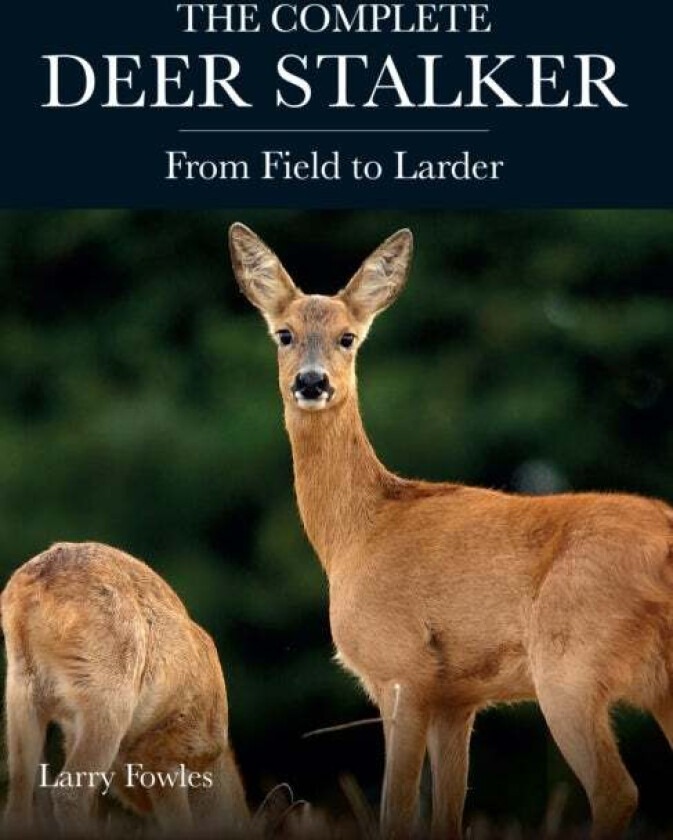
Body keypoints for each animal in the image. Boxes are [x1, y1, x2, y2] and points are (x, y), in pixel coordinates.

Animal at [229, 222, 673, 840]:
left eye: (347, 338)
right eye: (284, 334)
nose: (311, 383)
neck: (357, 534)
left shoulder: (400, 670)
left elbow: (396, 812)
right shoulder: (457, 698)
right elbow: (446, 814)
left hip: (570, 662)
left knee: (616, 790)